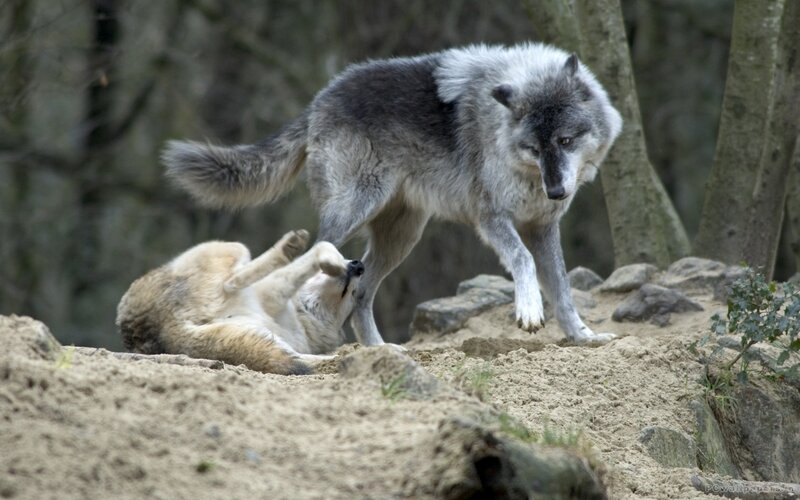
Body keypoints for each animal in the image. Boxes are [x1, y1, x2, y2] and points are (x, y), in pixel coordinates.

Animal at [116, 230, 365, 374]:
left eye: (353, 294)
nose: (359, 265)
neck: (301, 317)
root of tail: (166, 326)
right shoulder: (274, 290)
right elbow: (323, 246)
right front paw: (330, 261)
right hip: (232, 247)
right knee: (233, 279)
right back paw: (290, 246)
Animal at [162, 43, 623, 345]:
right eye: (534, 148)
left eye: (564, 141)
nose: (557, 190)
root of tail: (319, 99)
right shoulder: (491, 218)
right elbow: (524, 261)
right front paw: (528, 311)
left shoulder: (543, 226)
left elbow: (562, 288)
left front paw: (584, 336)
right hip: (353, 212)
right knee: (314, 260)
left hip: (400, 238)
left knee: (361, 293)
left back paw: (378, 351)